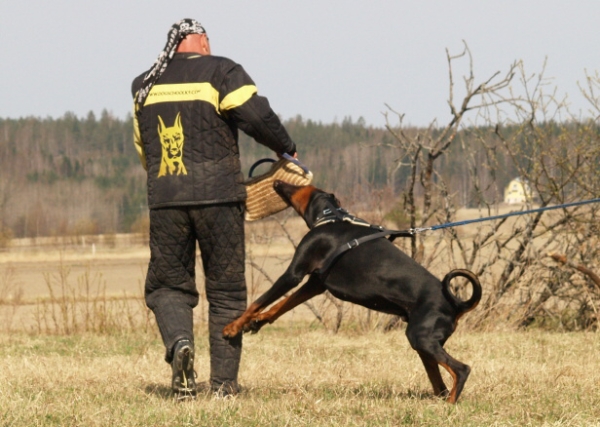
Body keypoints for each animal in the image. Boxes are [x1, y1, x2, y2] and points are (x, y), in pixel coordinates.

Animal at [225, 181, 482, 404]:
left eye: (301, 186)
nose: (277, 182)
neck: (331, 217)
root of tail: (456, 304)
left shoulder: (294, 273)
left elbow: (260, 301)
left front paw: (233, 327)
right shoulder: (315, 284)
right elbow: (282, 305)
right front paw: (257, 322)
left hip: (422, 337)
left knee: (461, 370)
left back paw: (450, 403)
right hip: (423, 343)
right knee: (440, 383)